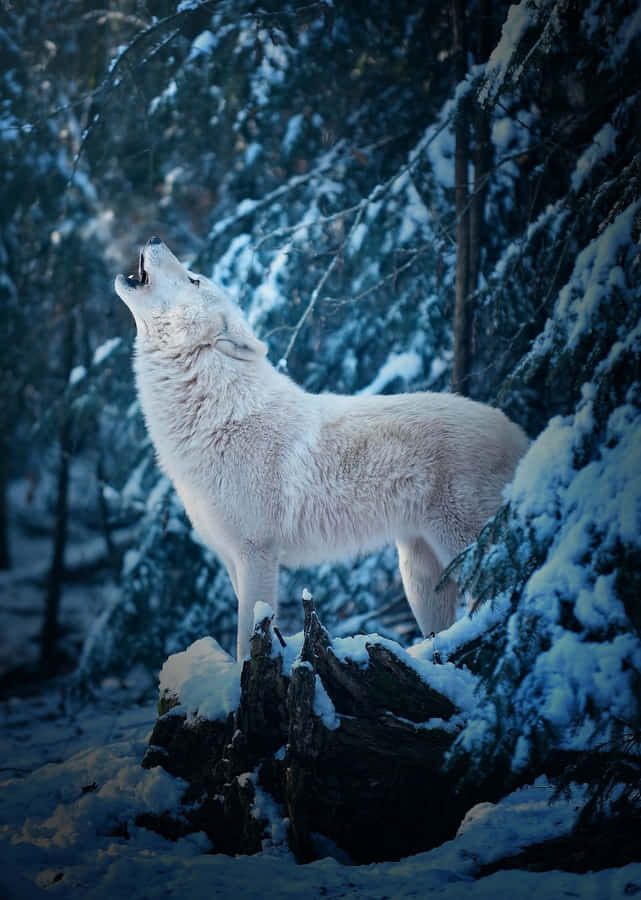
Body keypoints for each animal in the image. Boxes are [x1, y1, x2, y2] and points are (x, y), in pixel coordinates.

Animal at [115, 237, 529, 659]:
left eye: (194, 279)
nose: (154, 239)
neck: (215, 410)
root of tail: (517, 430)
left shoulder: (257, 555)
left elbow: (247, 639)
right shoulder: (231, 559)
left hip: (466, 552)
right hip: (420, 574)